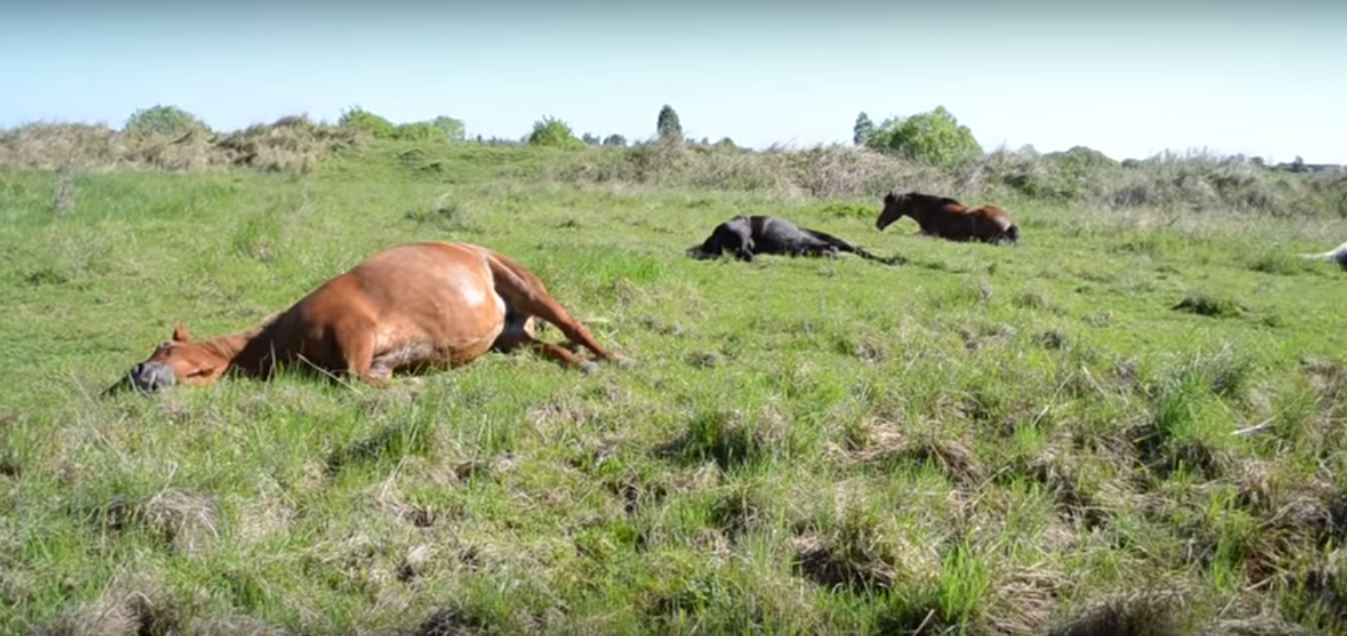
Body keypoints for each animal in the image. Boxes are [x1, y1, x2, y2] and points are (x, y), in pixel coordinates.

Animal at [111, 242, 630, 393]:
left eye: (163, 347)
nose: (138, 374)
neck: (280, 336)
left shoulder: (355, 330)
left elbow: (357, 379)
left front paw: (414, 386)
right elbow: (370, 376)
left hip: (524, 284)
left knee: (574, 326)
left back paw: (614, 358)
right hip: (510, 335)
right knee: (551, 346)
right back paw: (582, 364)